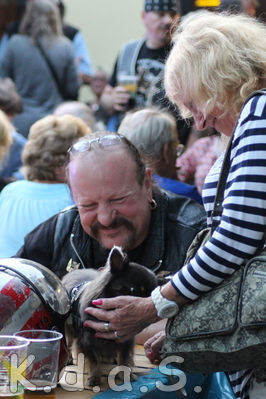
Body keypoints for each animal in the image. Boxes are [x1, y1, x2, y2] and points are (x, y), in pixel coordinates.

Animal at [61, 245, 158, 386]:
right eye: (133, 290)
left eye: (152, 293)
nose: (148, 302)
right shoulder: (87, 340)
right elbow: (94, 360)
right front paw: (94, 377)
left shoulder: (125, 340)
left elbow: (124, 359)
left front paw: (124, 375)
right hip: (68, 329)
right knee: (68, 342)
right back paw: (68, 358)